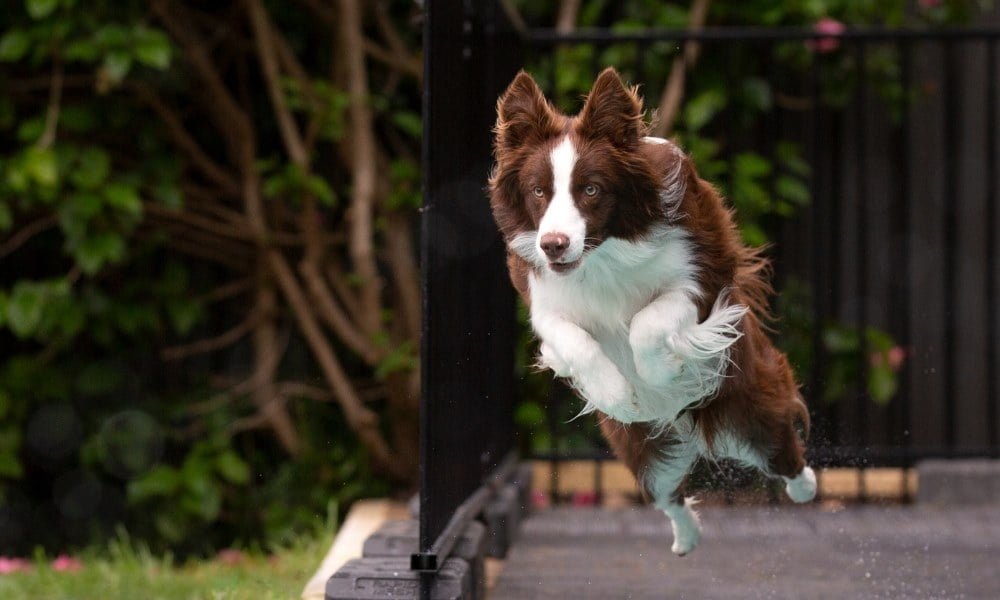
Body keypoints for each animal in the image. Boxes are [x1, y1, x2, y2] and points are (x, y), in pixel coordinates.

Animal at [488, 68, 816, 556]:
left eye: (591, 190)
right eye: (538, 191)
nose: (554, 245)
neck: (603, 253)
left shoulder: (704, 274)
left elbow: (647, 322)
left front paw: (663, 372)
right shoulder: (542, 297)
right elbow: (572, 339)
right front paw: (619, 395)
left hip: (749, 406)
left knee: (781, 449)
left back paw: (805, 486)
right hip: (638, 448)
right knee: (667, 492)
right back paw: (686, 538)